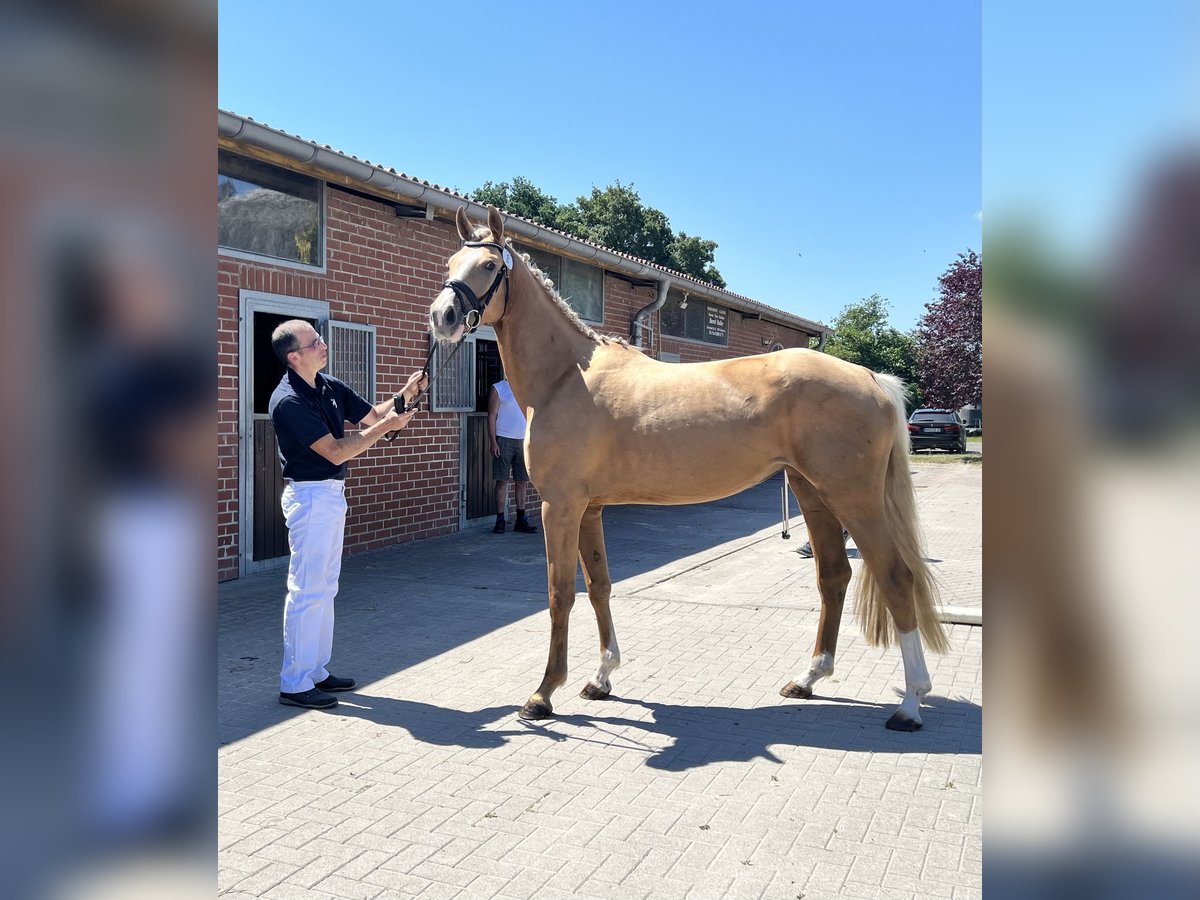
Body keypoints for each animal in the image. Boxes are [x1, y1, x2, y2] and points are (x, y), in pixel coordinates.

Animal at [429, 206, 945, 734]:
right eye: (450, 261)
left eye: (490, 265)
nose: (442, 317)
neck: (565, 377)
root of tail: (871, 378)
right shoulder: (590, 509)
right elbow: (599, 587)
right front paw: (602, 677)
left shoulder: (561, 506)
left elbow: (560, 594)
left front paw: (543, 694)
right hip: (811, 492)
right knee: (834, 575)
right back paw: (808, 679)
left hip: (853, 497)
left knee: (896, 576)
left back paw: (910, 704)